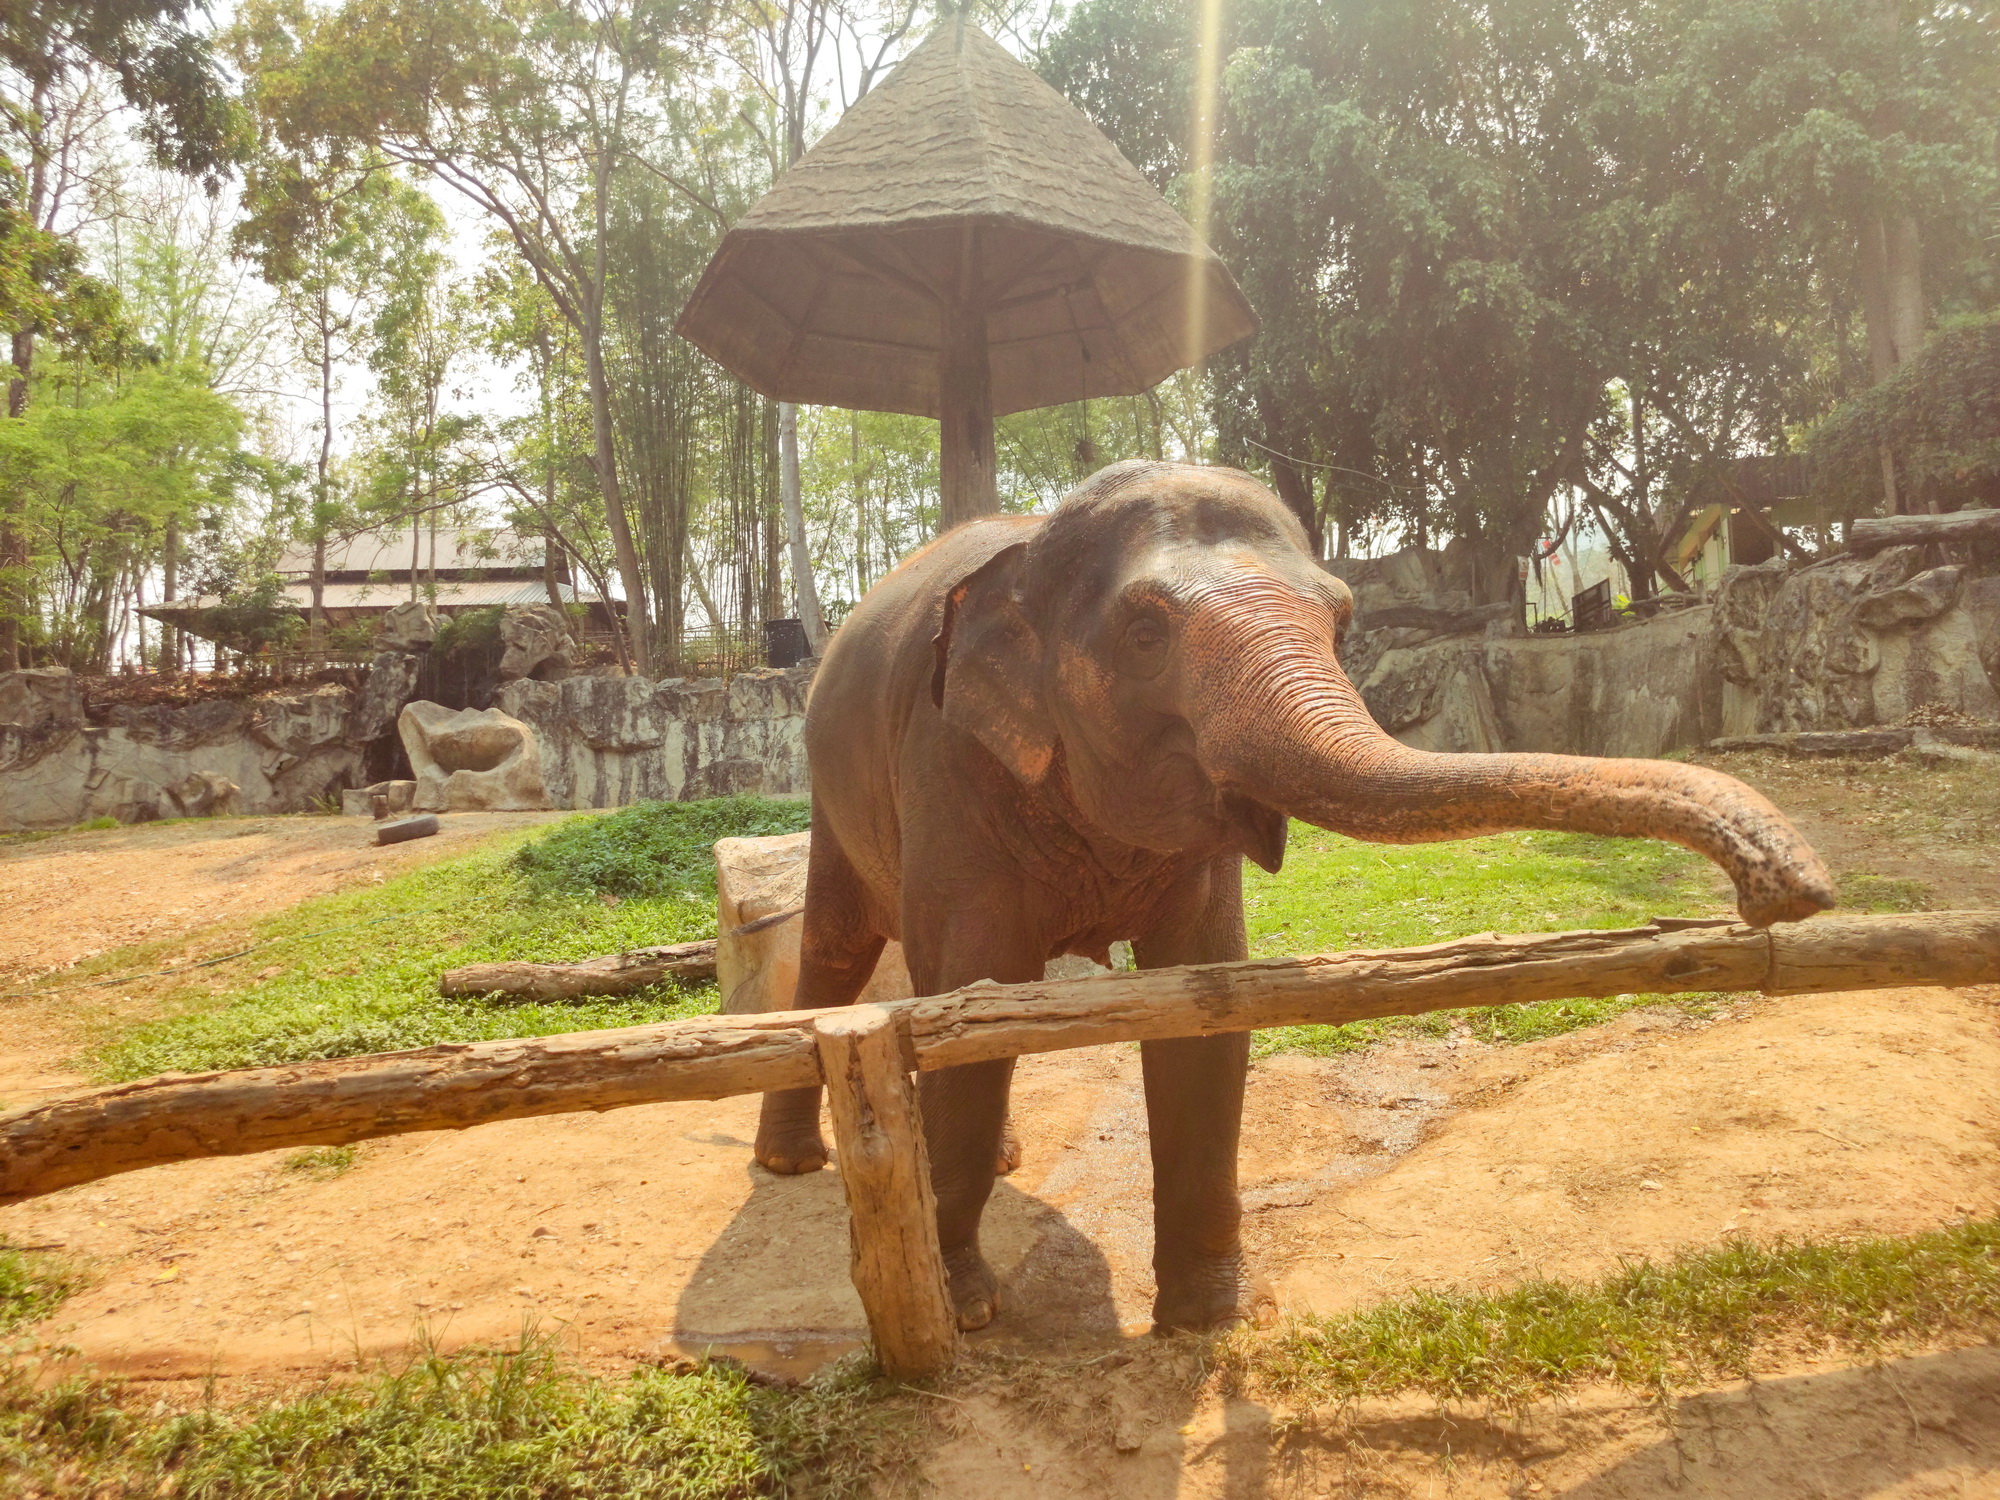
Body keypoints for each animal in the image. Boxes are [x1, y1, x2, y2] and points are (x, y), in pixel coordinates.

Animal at [756, 462, 1832, 1336]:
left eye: (1345, 623)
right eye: (1143, 631)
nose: (1790, 889)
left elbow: (1201, 1010)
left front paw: (1204, 1320)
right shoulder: (949, 764)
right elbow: (973, 1000)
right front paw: (968, 1311)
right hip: (830, 796)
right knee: (837, 954)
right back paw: (789, 1167)